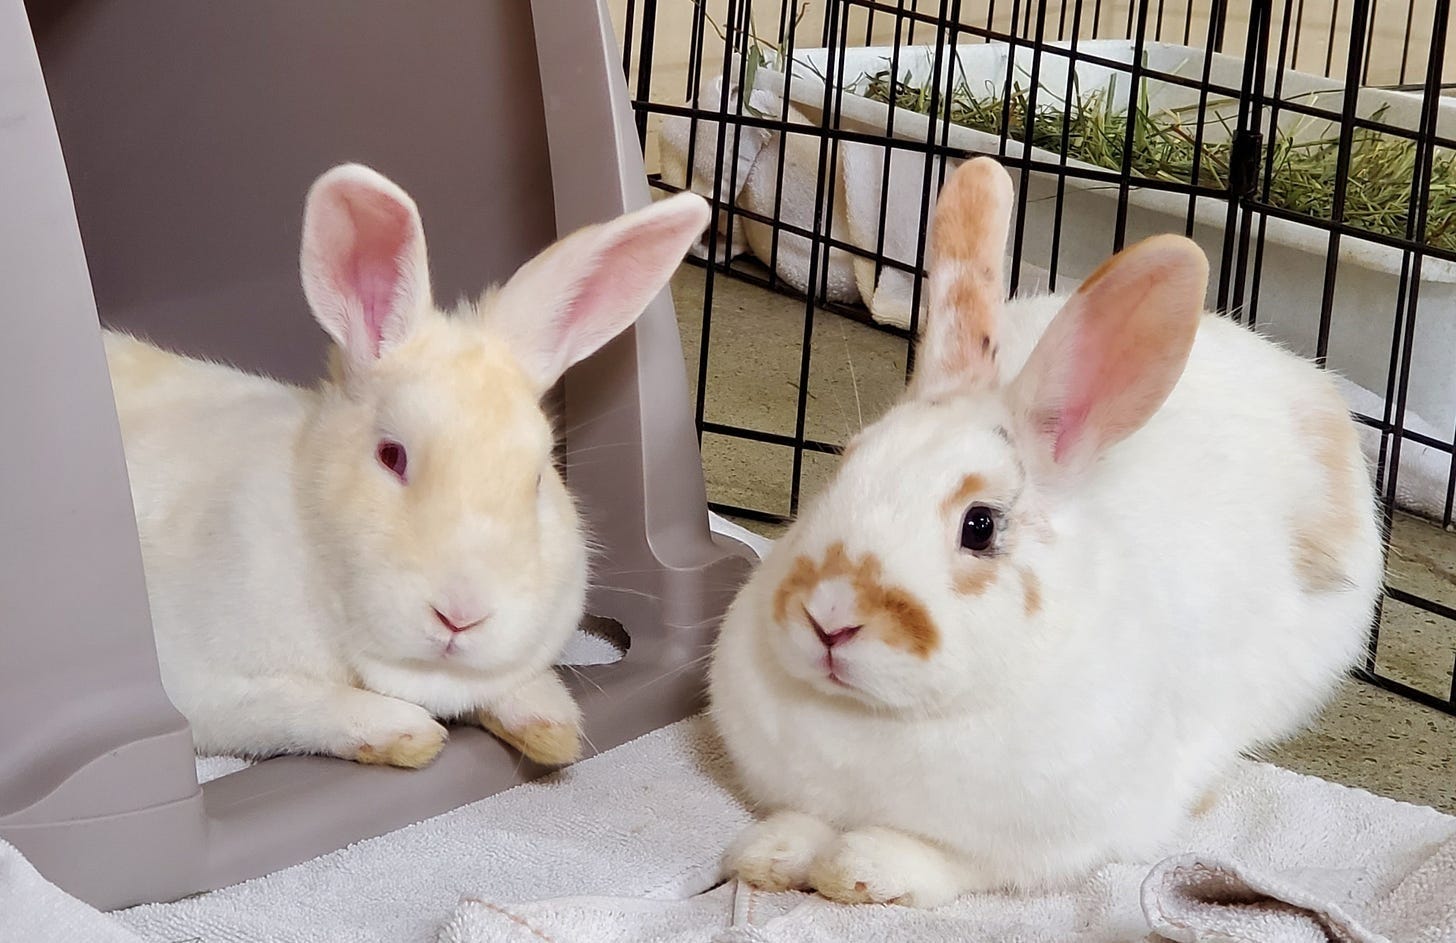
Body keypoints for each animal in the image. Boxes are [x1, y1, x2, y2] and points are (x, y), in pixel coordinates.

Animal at [105, 164, 710, 770]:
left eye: (539, 477)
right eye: (390, 456)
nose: (461, 616)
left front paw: (551, 728)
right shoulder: (206, 690)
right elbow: (294, 707)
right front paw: (408, 734)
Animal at [707, 156, 1384, 907]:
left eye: (980, 526)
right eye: (846, 463)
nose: (830, 617)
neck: (878, 719)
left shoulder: (1048, 846)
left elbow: (950, 862)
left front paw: (861, 868)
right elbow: (799, 818)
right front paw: (768, 854)